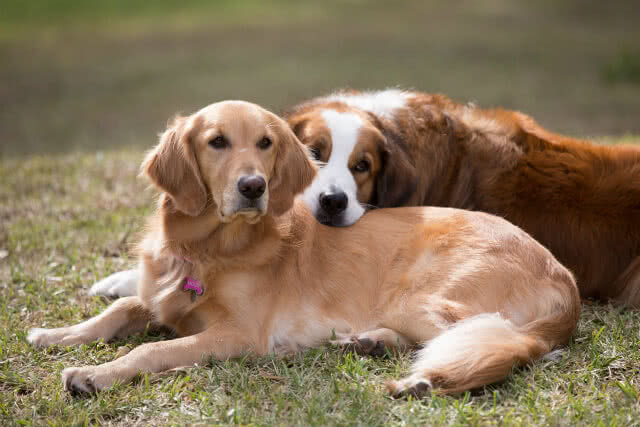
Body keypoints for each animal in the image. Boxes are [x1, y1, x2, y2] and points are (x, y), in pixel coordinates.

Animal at [28, 100, 580, 398]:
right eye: (216, 141)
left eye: (267, 143)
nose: (253, 187)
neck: (208, 247)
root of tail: (564, 278)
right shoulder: (164, 296)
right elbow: (120, 308)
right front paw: (57, 335)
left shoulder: (239, 333)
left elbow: (150, 349)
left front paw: (94, 374)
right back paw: (368, 342)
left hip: (421, 297)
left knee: (507, 343)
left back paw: (417, 378)